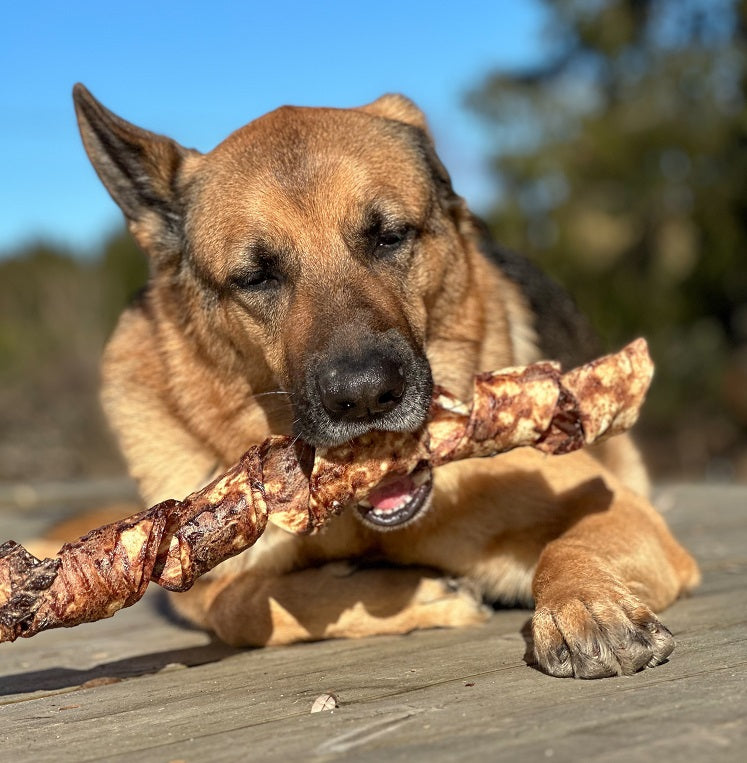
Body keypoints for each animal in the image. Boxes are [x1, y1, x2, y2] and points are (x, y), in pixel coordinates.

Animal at [73, 85, 700, 680]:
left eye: (389, 237)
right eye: (256, 276)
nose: (364, 396)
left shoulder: (623, 512)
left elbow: (569, 544)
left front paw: (586, 606)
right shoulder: (202, 589)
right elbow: (241, 606)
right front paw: (416, 593)